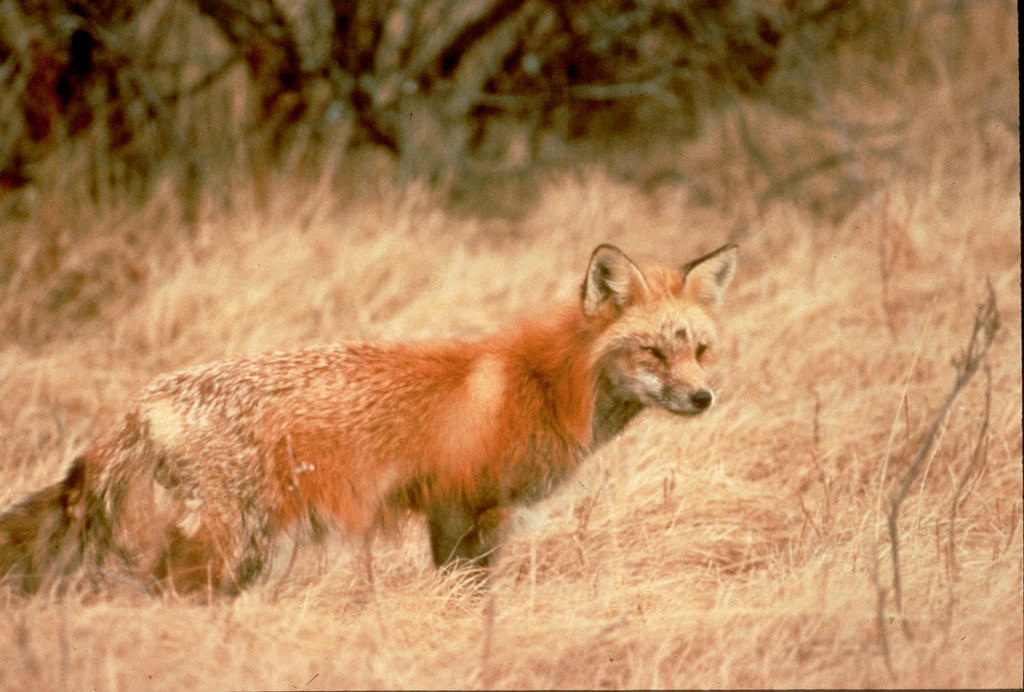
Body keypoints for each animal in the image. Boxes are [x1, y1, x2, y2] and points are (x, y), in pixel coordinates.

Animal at [0, 243, 737, 597]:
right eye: (652, 352)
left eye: (700, 351)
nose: (704, 399)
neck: (545, 382)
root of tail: (141, 401)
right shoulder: (462, 508)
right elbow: (466, 595)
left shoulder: (470, 517)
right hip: (235, 545)